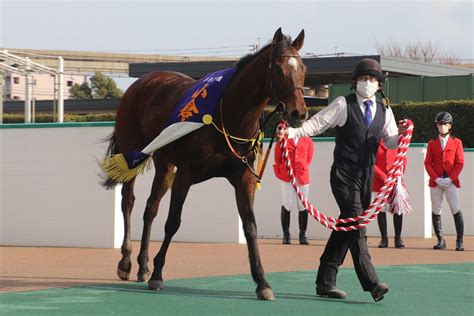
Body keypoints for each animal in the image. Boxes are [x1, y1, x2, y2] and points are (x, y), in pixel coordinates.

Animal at [100, 28, 308, 300]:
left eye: (302, 67)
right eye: (277, 68)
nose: (298, 113)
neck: (226, 114)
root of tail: (141, 83)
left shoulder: (244, 177)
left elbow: (250, 225)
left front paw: (262, 281)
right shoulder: (185, 174)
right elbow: (173, 222)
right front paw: (158, 274)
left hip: (164, 164)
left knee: (150, 208)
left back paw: (142, 265)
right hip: (132, 151)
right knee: (128, 200)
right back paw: (126, 262)